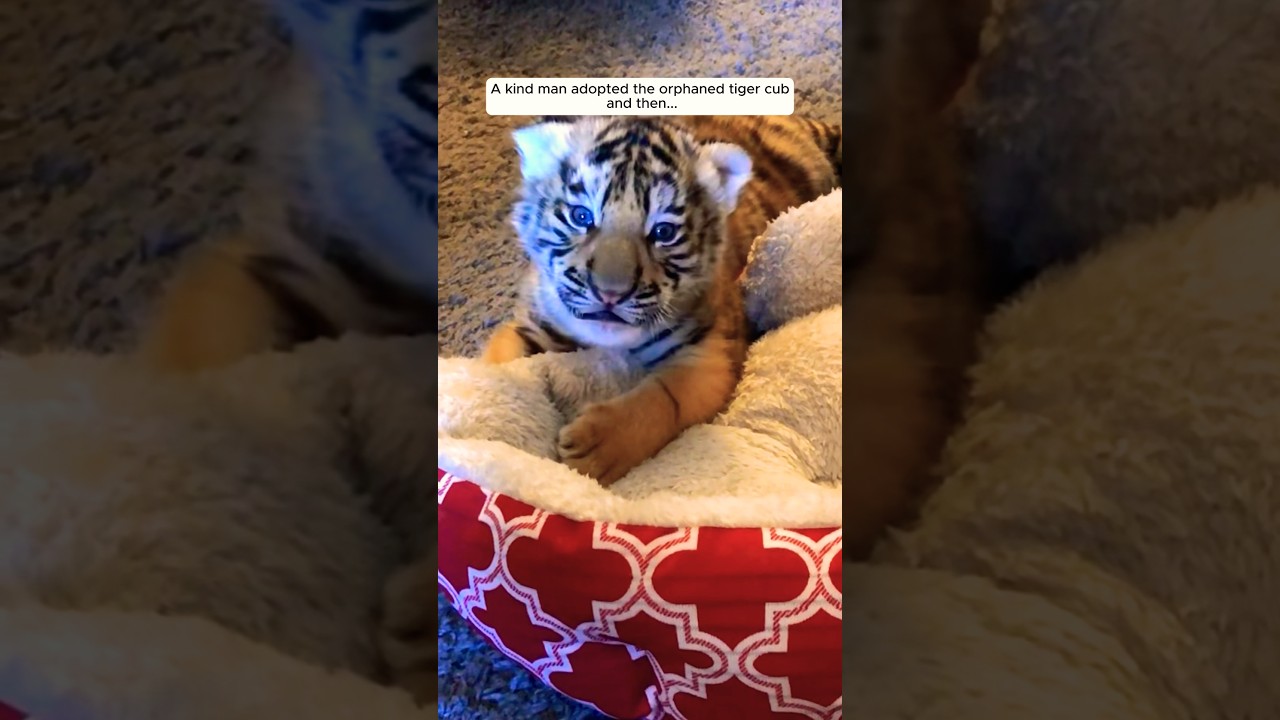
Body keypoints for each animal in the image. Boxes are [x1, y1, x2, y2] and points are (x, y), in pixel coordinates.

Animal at [481, 115, 842, 486]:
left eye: (663, 232)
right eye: (581, 217)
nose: (610, 293)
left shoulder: (711, 355)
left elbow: (663, 399)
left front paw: (591, 452)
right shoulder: (533, 326)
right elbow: (499, 365)